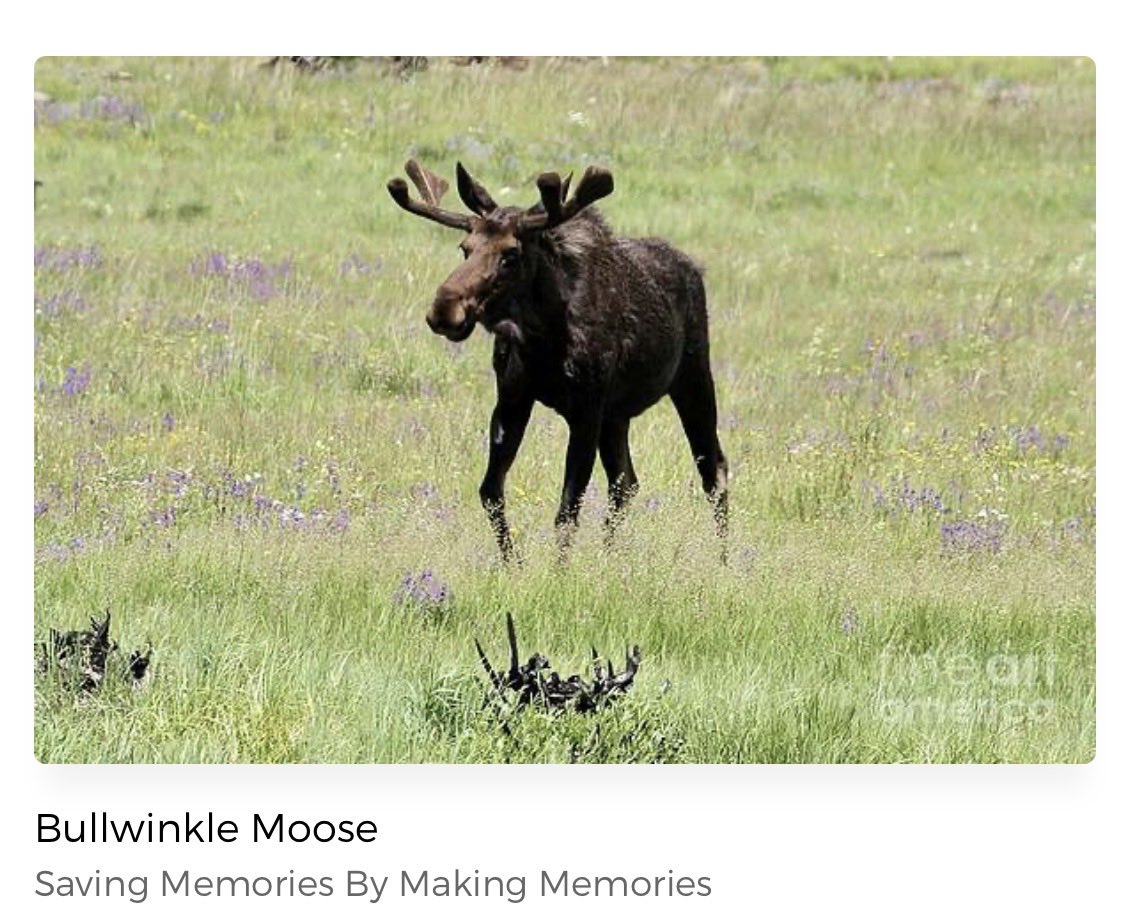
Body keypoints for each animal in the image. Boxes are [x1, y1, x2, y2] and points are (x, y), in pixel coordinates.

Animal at [387, 159, 728, 563]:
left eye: (511, 254)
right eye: (465, 247)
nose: (444, 309)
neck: (542, 339)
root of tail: (695, 269)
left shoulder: (587, 409)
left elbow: (566, 511)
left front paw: (558, 571)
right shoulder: (513, 399)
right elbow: (490, 491)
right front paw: (513, 564)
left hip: (692, 375)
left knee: (713, 469)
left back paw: (724, 561)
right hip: (617, 414)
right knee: (625, 481)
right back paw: (609, 558)